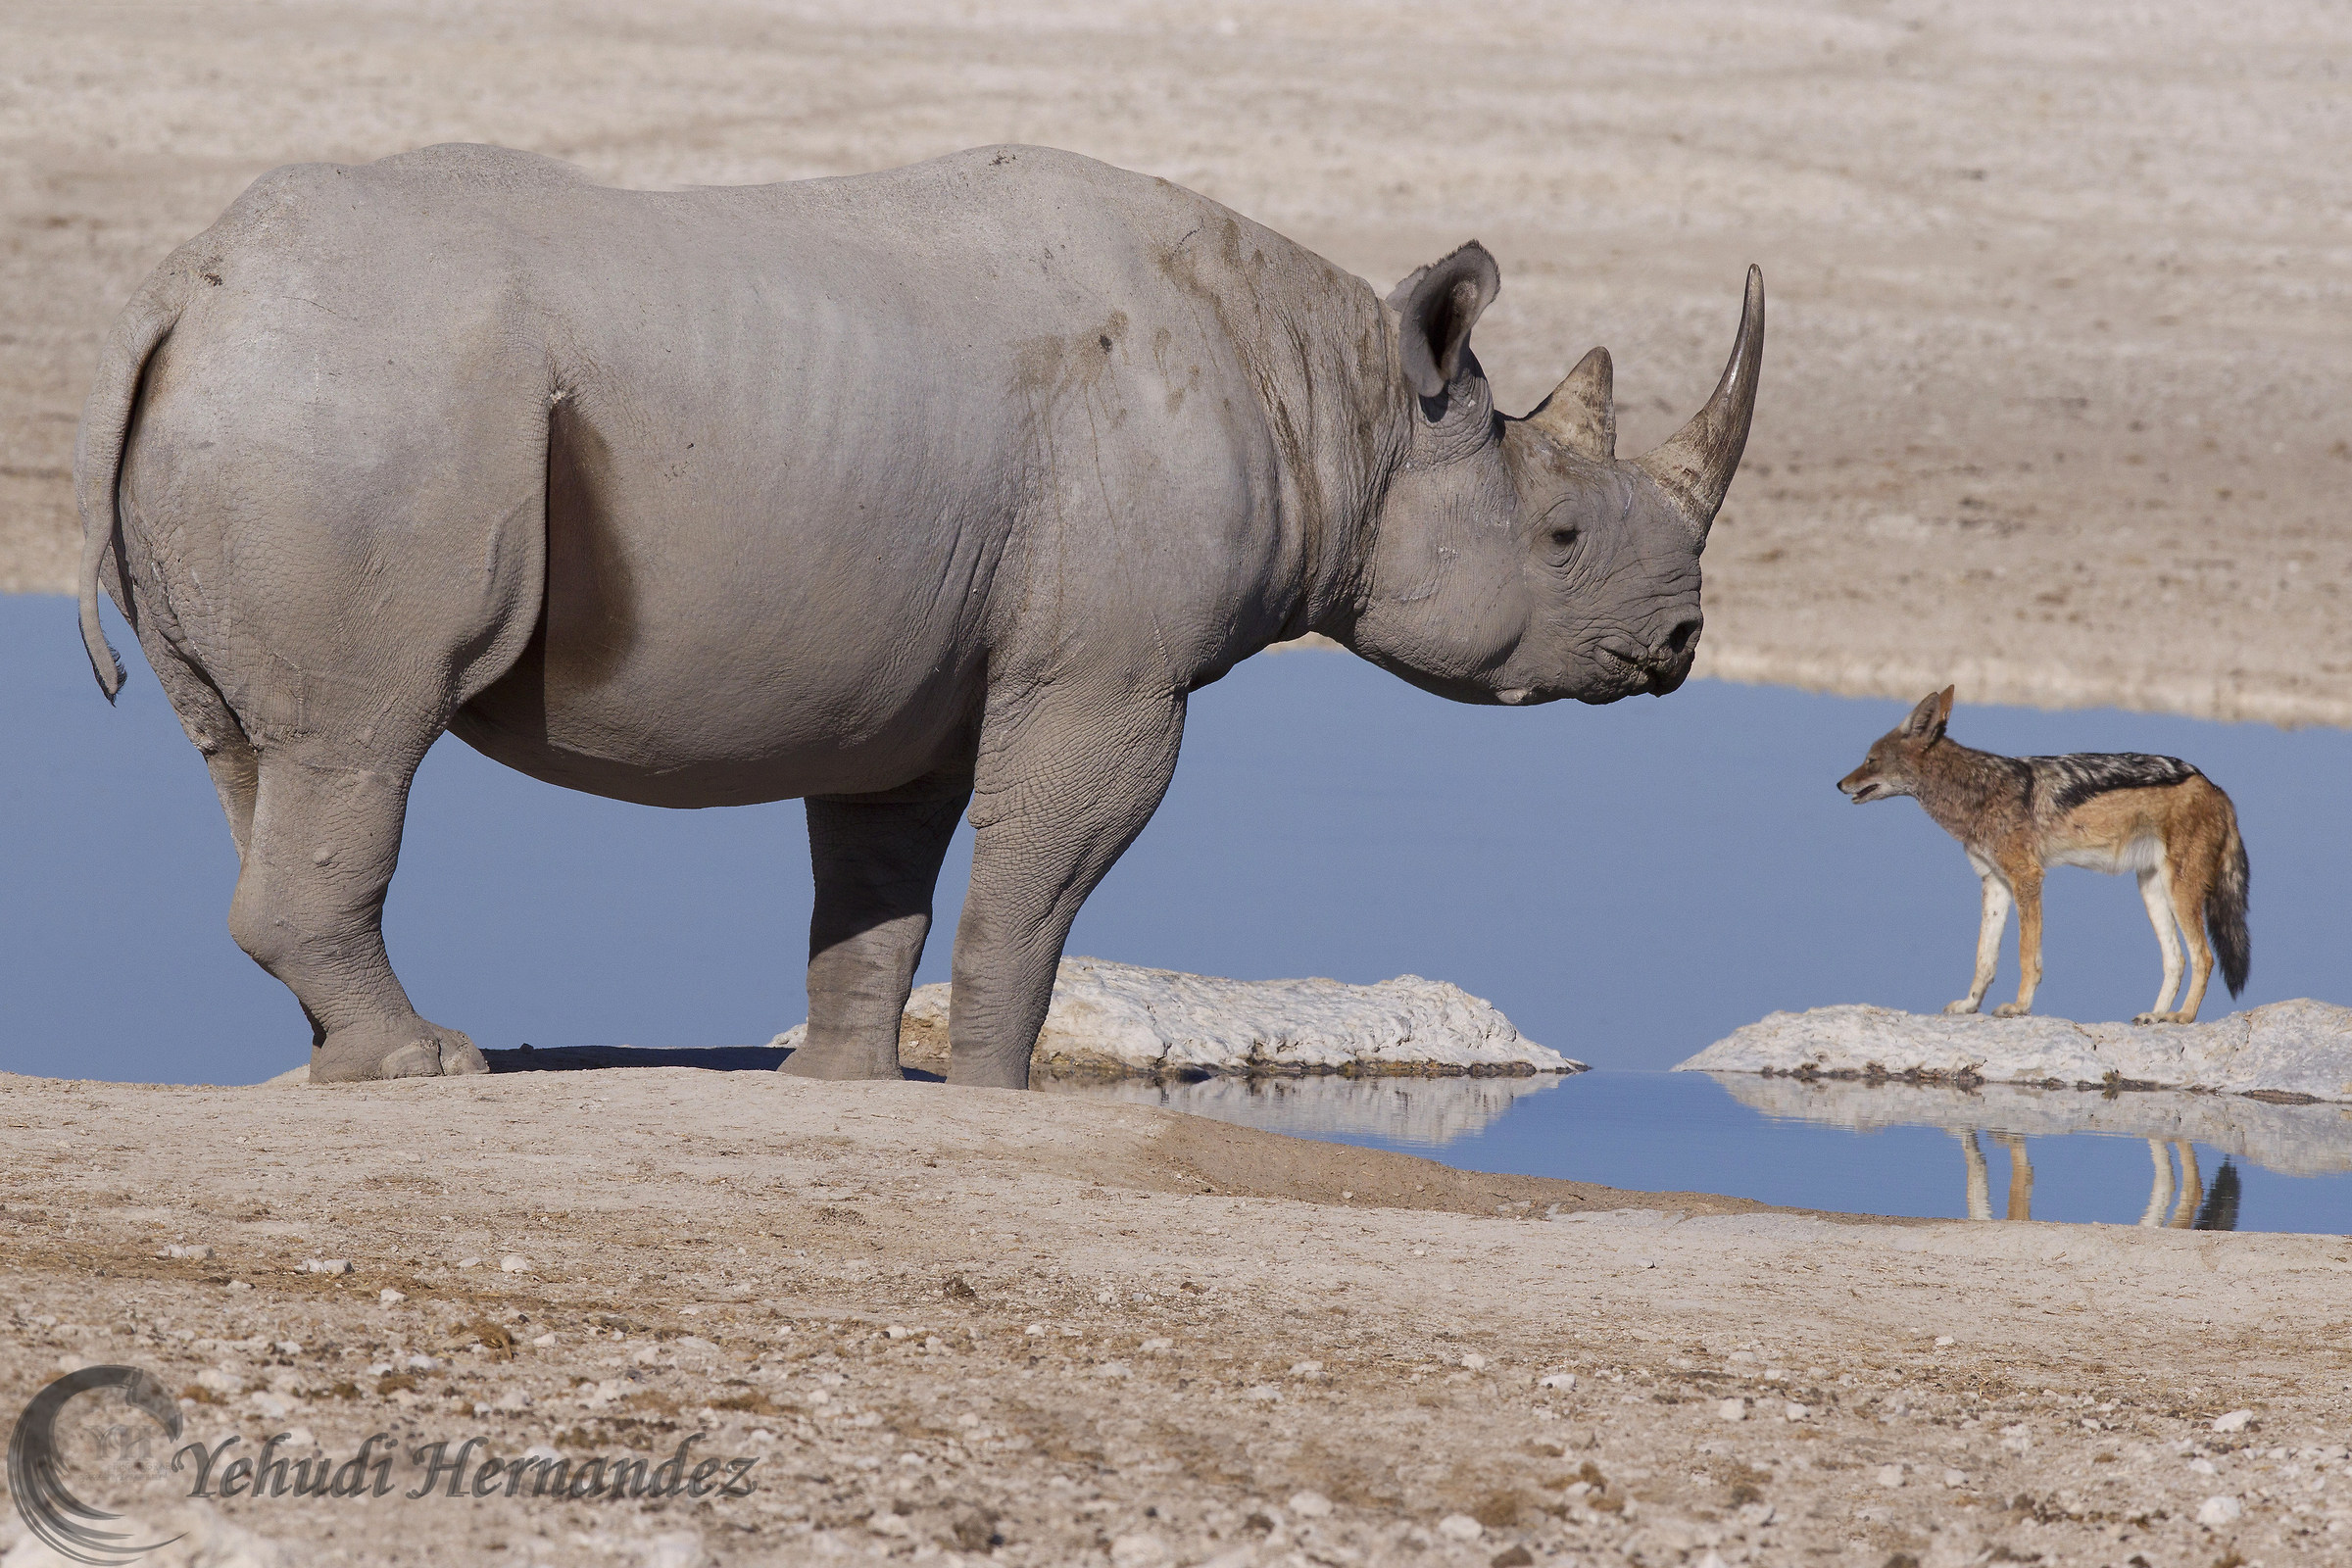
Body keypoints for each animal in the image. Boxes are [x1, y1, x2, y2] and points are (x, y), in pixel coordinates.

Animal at [76, 143, 1763, 1088]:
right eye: (1559, 534)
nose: (1680, 649)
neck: (1339, 405)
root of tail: (180, 285)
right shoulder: (1112, 679)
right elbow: (1039, 882)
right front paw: (1006, 1094)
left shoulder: (907, 670)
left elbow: (877, 882)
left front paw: (846, 1081)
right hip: (364, 405)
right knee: (368, 729)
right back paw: (427, 1066)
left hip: (285, 396)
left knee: (257, 753)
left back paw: (342, 1063)